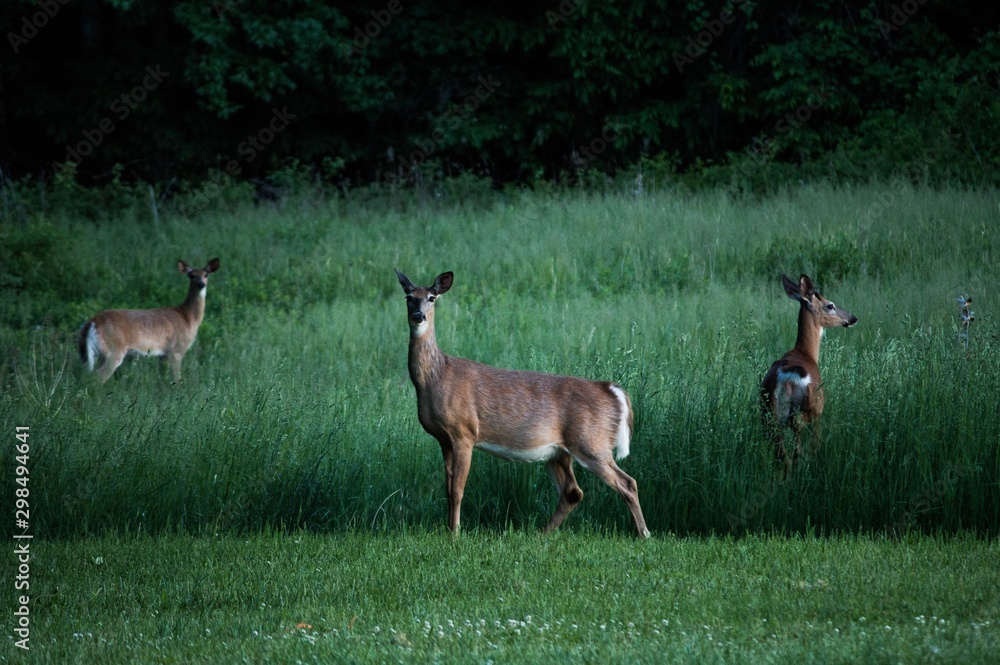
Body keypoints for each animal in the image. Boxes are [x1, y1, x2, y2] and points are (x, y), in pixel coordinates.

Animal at [78, 260, 221, 384]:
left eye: (206, 274)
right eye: (191, 275)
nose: (201, 284)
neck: (188, 317)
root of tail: (92, 322)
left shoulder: (163, 354)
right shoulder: (177, 349)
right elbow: (176, 379)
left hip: (86, 352)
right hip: (113, 350)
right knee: (98, 378)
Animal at [394, 268, 652, 536]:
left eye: (432, 297)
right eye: (409, 297)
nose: (418, 315)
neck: (437, 377)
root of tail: (611, 389)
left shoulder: (464, 432)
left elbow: (457, 490)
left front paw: (454, 533)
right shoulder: (444, 439)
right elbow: (447, 489)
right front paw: (448, 529)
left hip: (592, 442)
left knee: (627, 482)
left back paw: (644, 533)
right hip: (559, 452)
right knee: (573, 492)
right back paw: (542, 532)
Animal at [760, 272, 856, 474]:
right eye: (830, 305)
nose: (853, 318)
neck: (806, 353)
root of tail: (785, 379)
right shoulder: (819, 412)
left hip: (768, 414)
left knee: (783, 458)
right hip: (805, 411)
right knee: (797, 455)